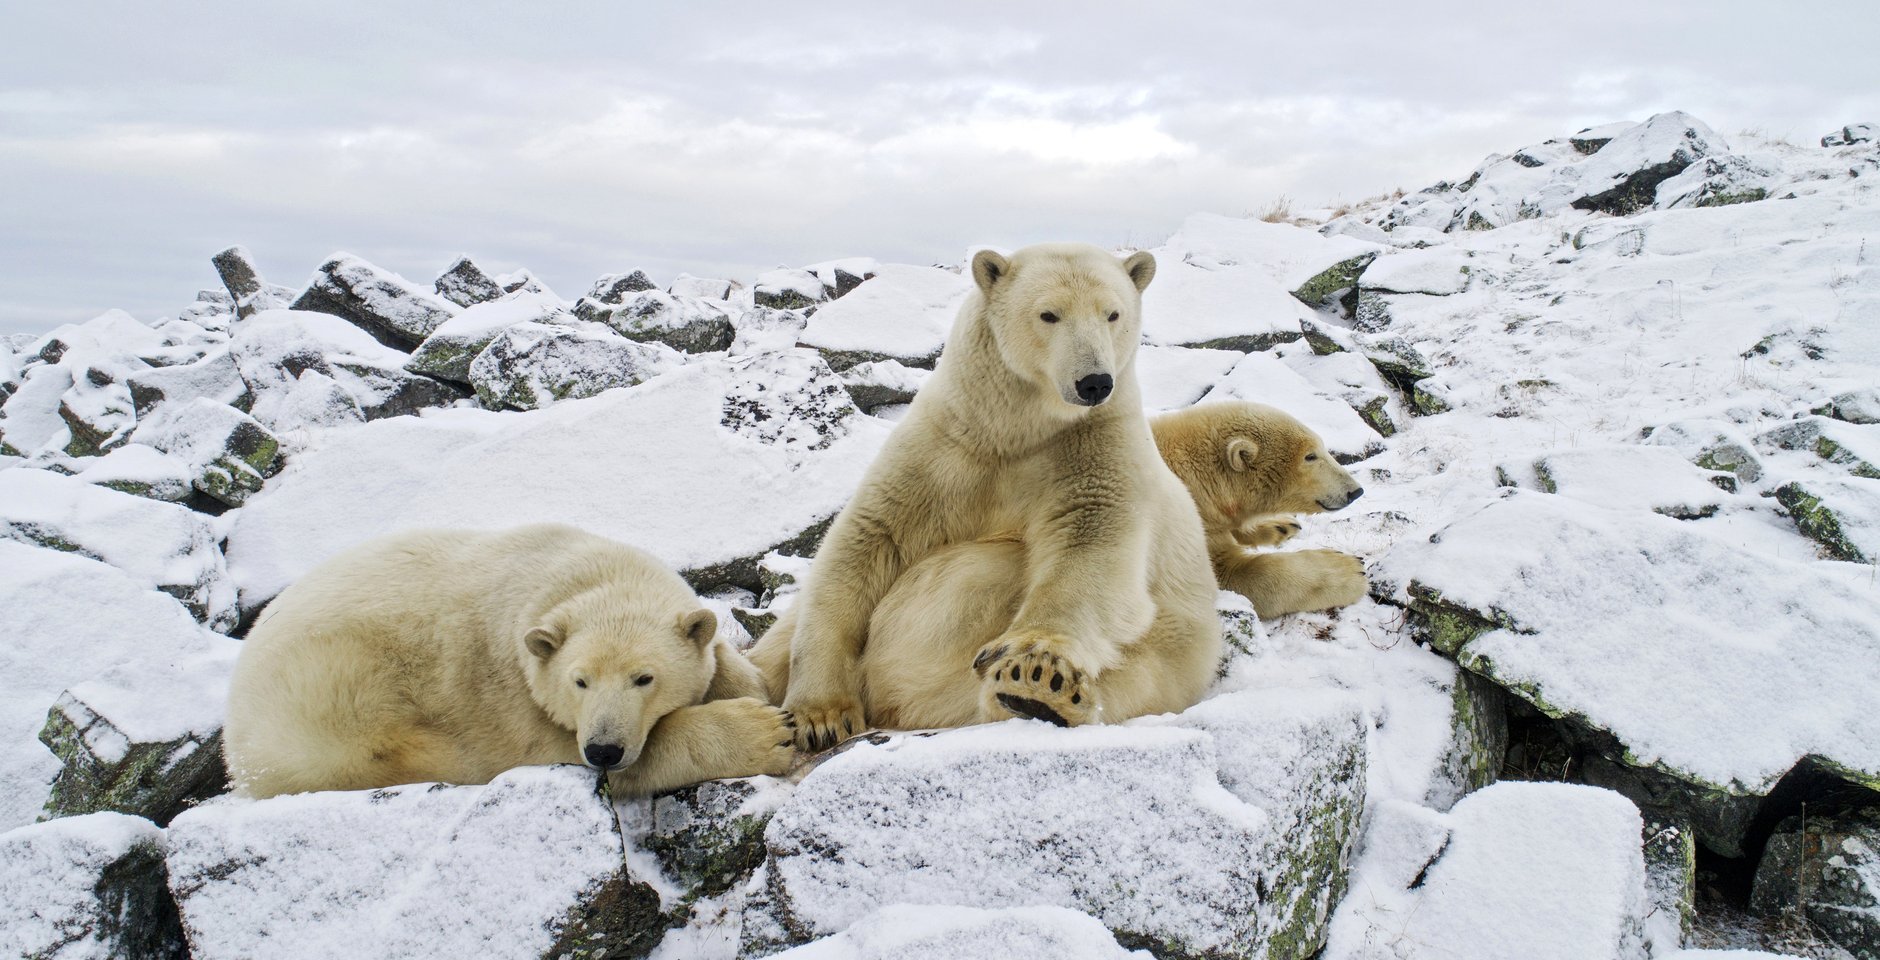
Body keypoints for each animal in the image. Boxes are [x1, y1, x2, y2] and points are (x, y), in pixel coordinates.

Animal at [223, 522, 797, 800]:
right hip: (330, 705)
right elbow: (559, 748)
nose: (604, 749)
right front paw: (765, 733)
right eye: (579, 681)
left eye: (644, 678)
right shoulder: (509, 696)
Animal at [748, 244, 1218, 747]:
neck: (1014, 430)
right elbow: (867, 539)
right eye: (1048, 314)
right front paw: (821, 716)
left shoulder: (1094, 445)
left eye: (1113, 313)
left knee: (1128, 679)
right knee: (779, 639)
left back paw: (1038, 697)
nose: (1094, 382)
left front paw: (1035, 666)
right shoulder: (945, 445)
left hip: (1169, 653)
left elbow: (1091, 544)